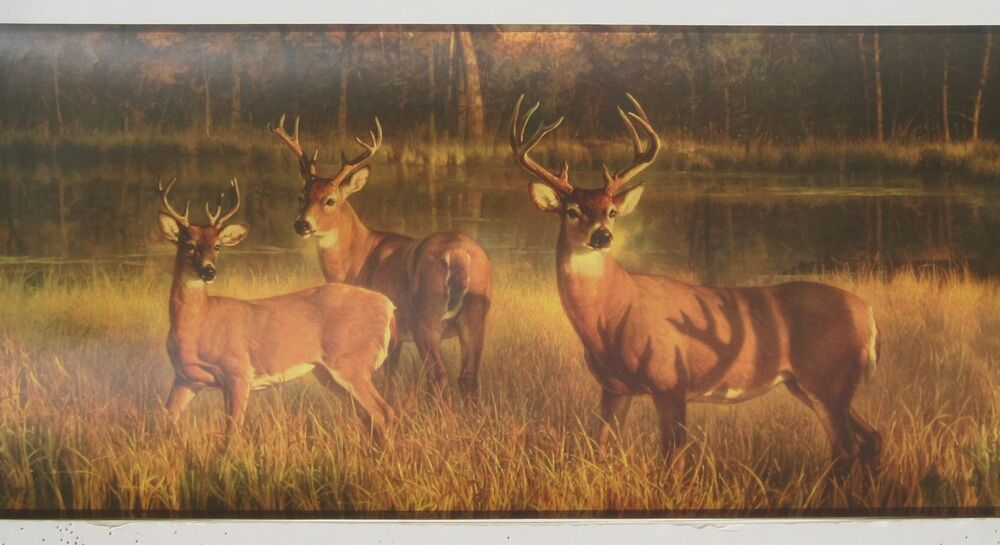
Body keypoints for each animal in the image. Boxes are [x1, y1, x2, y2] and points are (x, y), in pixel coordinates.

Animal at [156, 176, 397, 443]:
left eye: (217, 246)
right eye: (188, 244)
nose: (209, 271)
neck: (197, 325)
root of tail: (388, 305)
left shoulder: (238, 372)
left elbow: (232, 433)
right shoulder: (185, 378)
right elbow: (164, 421)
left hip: (350, 362)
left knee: (383, 412)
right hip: (328, 372)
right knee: (368, 415)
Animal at [268, 115, 493, 402]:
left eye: (330, 200)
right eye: (301, 197)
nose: (301, 224)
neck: (357, 259)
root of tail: (457, 253)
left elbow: (386, 377)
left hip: (426, 317)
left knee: (439, 374)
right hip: (476, 316)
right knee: (469, 377)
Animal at [511, 94, 882, 476]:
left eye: (611, 211)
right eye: (571, 210)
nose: (602, 236)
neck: (610, 318)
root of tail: (868, 313)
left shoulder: (671, 381)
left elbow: (673, 459)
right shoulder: (614, 387)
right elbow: (601, 450)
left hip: (827, 378)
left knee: (847, 446)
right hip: (812, 384)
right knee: (871, 438)